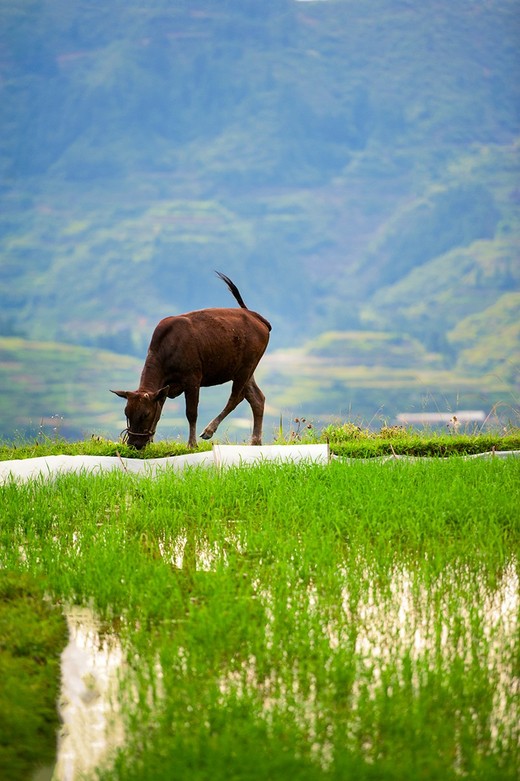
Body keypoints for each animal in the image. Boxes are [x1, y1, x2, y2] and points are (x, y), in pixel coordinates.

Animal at [110, 272, 272, 444]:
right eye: (127, 413)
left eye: (145, 414)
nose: (134, 444)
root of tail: (255, 316)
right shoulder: (164, 386)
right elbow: (159, 412)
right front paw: (151, 441)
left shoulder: (192, 378)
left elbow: (191, 413)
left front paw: (192, 444)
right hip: (243, 370)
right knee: (257, 399)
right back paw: (255, 441)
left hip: (245, 368)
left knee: (237, 397)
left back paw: (209, 430)